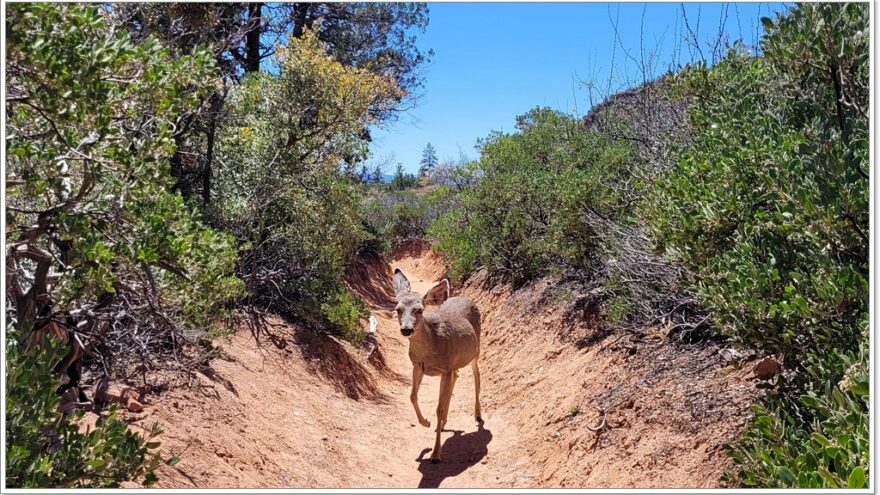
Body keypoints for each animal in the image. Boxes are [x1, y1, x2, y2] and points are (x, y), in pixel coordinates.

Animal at [394, 270, 484, 464]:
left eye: (419, 310)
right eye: (398, 309)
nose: (406, 329)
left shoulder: (445, 367)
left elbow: (439, 409)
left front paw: (436, 454)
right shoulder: (418, 365)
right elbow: (412, 396)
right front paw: (426, 422)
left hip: (476, 350)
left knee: (476, 376)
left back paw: (478, 414)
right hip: (452, 366)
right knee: (457, 376)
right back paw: (443, 425)